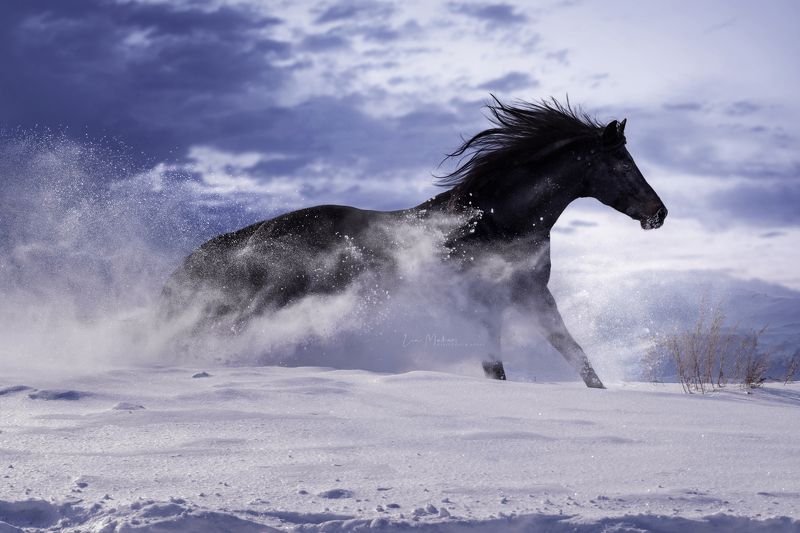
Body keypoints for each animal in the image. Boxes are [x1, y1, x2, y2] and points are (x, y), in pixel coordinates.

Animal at [161, 97, 667, 388]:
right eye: (623, 164)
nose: (658, 214)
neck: (497, 221)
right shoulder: (500, 299)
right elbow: (507, 364)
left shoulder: (526, 296)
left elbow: (571, 354)